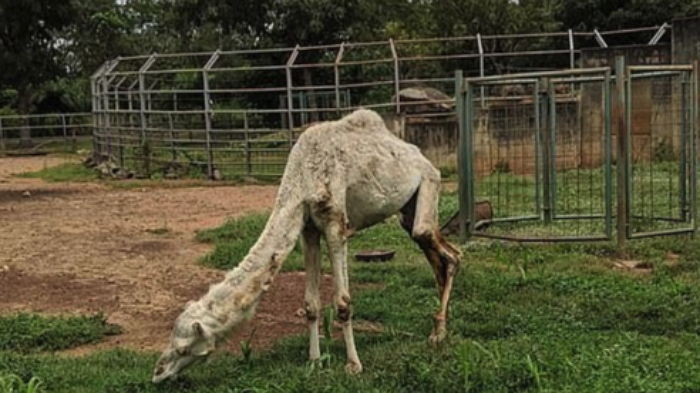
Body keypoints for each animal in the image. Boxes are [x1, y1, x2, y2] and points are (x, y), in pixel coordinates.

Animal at [150, 108, 462, 382]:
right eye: (171, 340)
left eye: (183, 349)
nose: (157, 374)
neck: (303, 175)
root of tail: (423, 158)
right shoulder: (308, 229)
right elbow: (311, 304)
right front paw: (314, 361)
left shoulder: (336, 225)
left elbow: (343, 303)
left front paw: (353, 365)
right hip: (407, 211)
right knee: (436, 254)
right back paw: (439, 328)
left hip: (429, 184)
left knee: (450, 252)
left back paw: (438, 333)